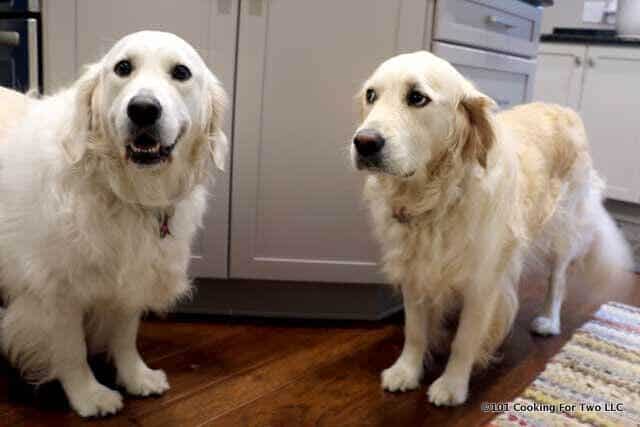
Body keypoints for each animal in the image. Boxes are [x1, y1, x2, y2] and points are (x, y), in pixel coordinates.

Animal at [0, 30, 228, 418]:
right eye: (123, 68)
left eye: (181, 73)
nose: (143, 109)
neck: (120, 191)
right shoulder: (56, 289)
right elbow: (71, 349)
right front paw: (88, 395)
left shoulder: (131, 280)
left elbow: (125, 336)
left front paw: (136, 376)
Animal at [352, 52, 632, 408]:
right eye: (371, 95)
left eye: (417, 97)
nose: (364, 142)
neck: (439, 197)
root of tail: (564, 109)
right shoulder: (415, 270)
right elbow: (415, 331)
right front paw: (406, 371)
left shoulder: (482, 284)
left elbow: (465, 340)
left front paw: (452, 385)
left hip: (563, 228)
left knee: (557, 280)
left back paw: (548, 320)